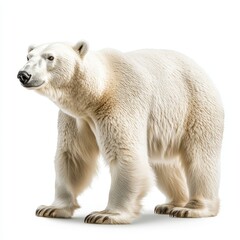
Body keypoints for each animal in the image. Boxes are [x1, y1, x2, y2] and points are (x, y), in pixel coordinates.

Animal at [17, 40, 224, 223]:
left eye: (50, 57)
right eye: (28, 56)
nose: (23, 74)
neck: (98, 92)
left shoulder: (120, 103)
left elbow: (125, 154)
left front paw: (106, 214)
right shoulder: (76, 118)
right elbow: (73, 156)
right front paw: (51, 208)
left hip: (195, 107)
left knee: (199, 159)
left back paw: (191, 209)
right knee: (164, 165)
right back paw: (171, 204)